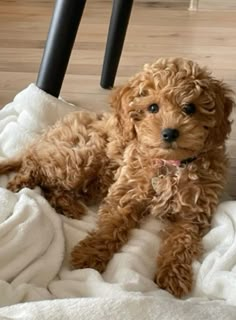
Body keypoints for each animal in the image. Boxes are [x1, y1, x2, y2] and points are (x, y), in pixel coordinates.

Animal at [0, 57, 233, 298]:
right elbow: (109, 227)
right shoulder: (125, 193)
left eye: (190, 108)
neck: (170, 165)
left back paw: (68, 205)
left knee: (49, 183)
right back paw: (22, 182)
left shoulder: (192, 213)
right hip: (80, 156)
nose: (169, 133)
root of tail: (48, 134)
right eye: (152, 107)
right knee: (35, 165)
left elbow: (181, 242)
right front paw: (89, 254)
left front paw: (173, 275)